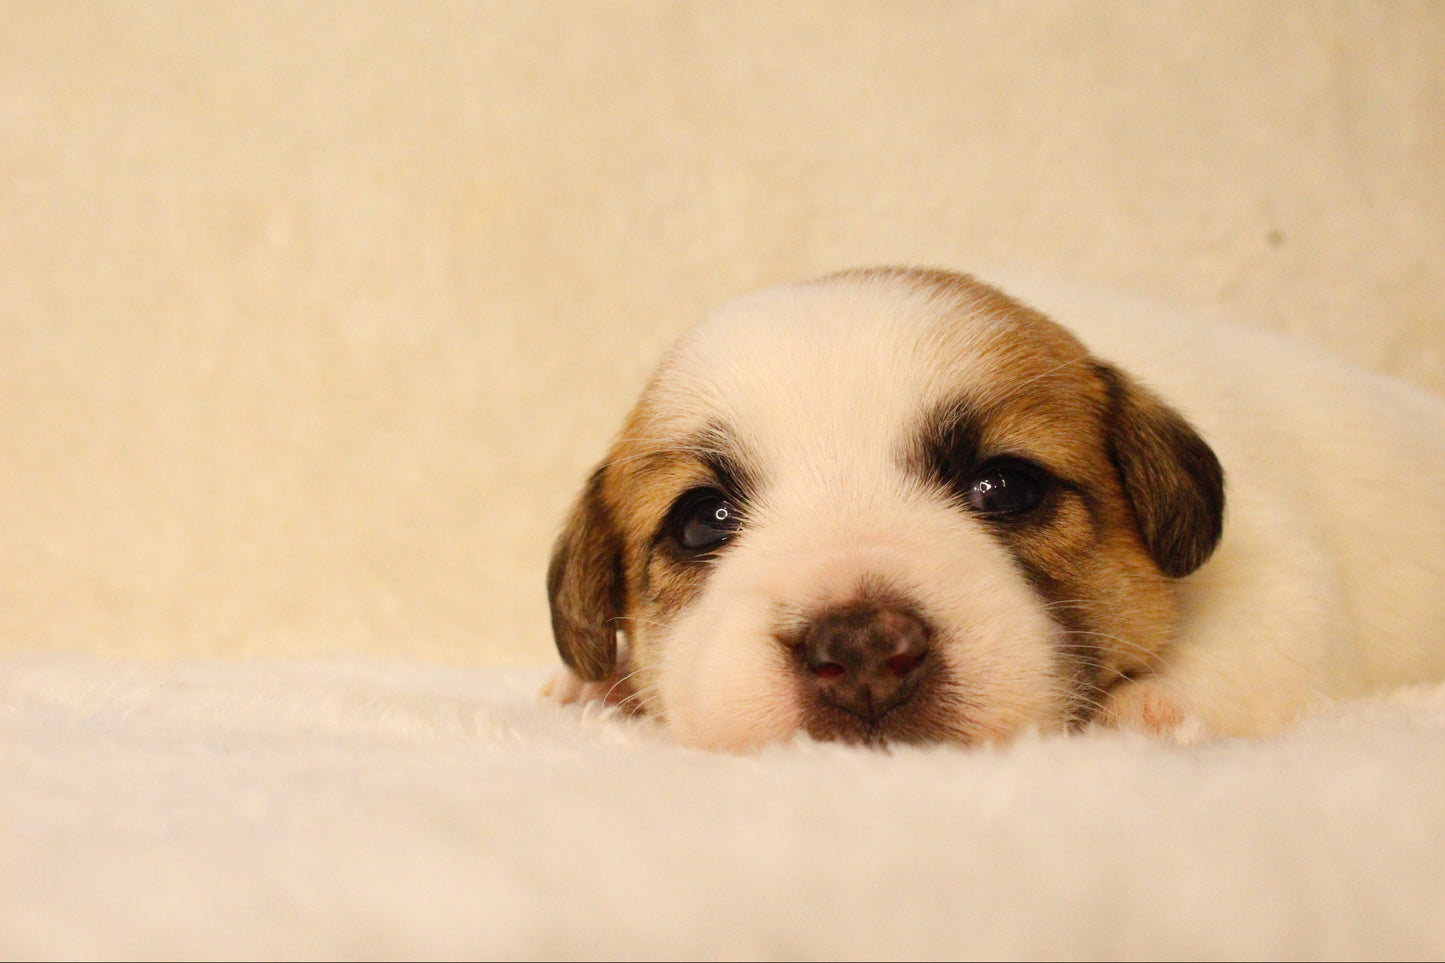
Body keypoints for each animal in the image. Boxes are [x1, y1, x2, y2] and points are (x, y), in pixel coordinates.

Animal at [543, 266, 1445, 746]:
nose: (860, 647)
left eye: (1005, 487)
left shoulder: (1275, 575)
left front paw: (1143, 708)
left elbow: (1252, 645)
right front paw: (601, 685)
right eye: (702, 521)